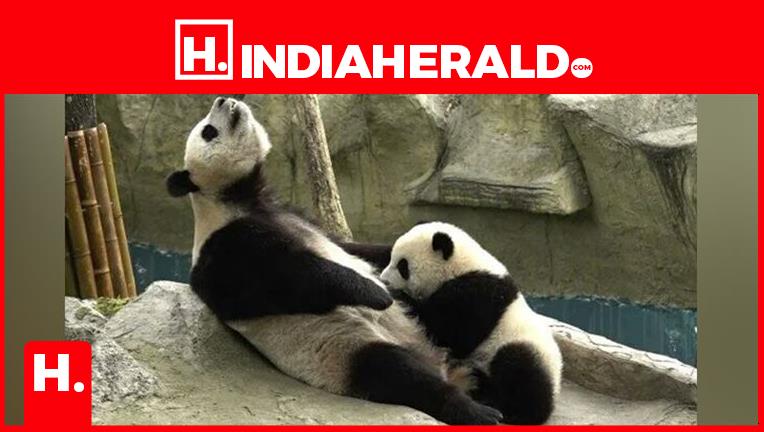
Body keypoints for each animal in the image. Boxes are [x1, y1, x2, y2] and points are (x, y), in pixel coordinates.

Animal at [165, 97, 503, 425]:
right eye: (208, 131)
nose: (224, 100)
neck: (237, 198)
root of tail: (441, 365)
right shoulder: (225, 249)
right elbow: (287, 279)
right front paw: (377, 293)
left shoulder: (294, 214)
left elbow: (353, 248)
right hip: (347, 352)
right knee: (399, 373)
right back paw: (477, 411)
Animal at [379, 221, 563, 425]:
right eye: (392, 258)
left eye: (403, 266)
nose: (384, 279)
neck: (463, 267)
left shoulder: (478, 296)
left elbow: (449, 331)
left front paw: (395, 293)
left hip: (523, 348)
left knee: (520, 369)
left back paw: (517, 412)